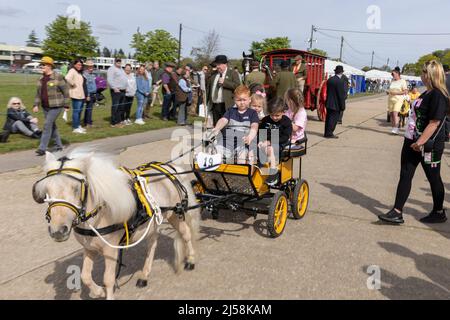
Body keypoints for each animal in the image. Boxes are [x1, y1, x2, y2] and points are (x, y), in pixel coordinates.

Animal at [32, 149, 200, 300]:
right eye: (47, 190)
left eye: (76, 189)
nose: (58, 231)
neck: (97, 215)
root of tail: (169, 169)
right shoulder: (89, 248)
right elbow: (85, 276)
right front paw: (98, 292)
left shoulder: (111, 250)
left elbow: (108, 279)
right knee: (152, 244)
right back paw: (144, 275)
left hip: (175, 214)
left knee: (186, 235)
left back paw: (191, 260)